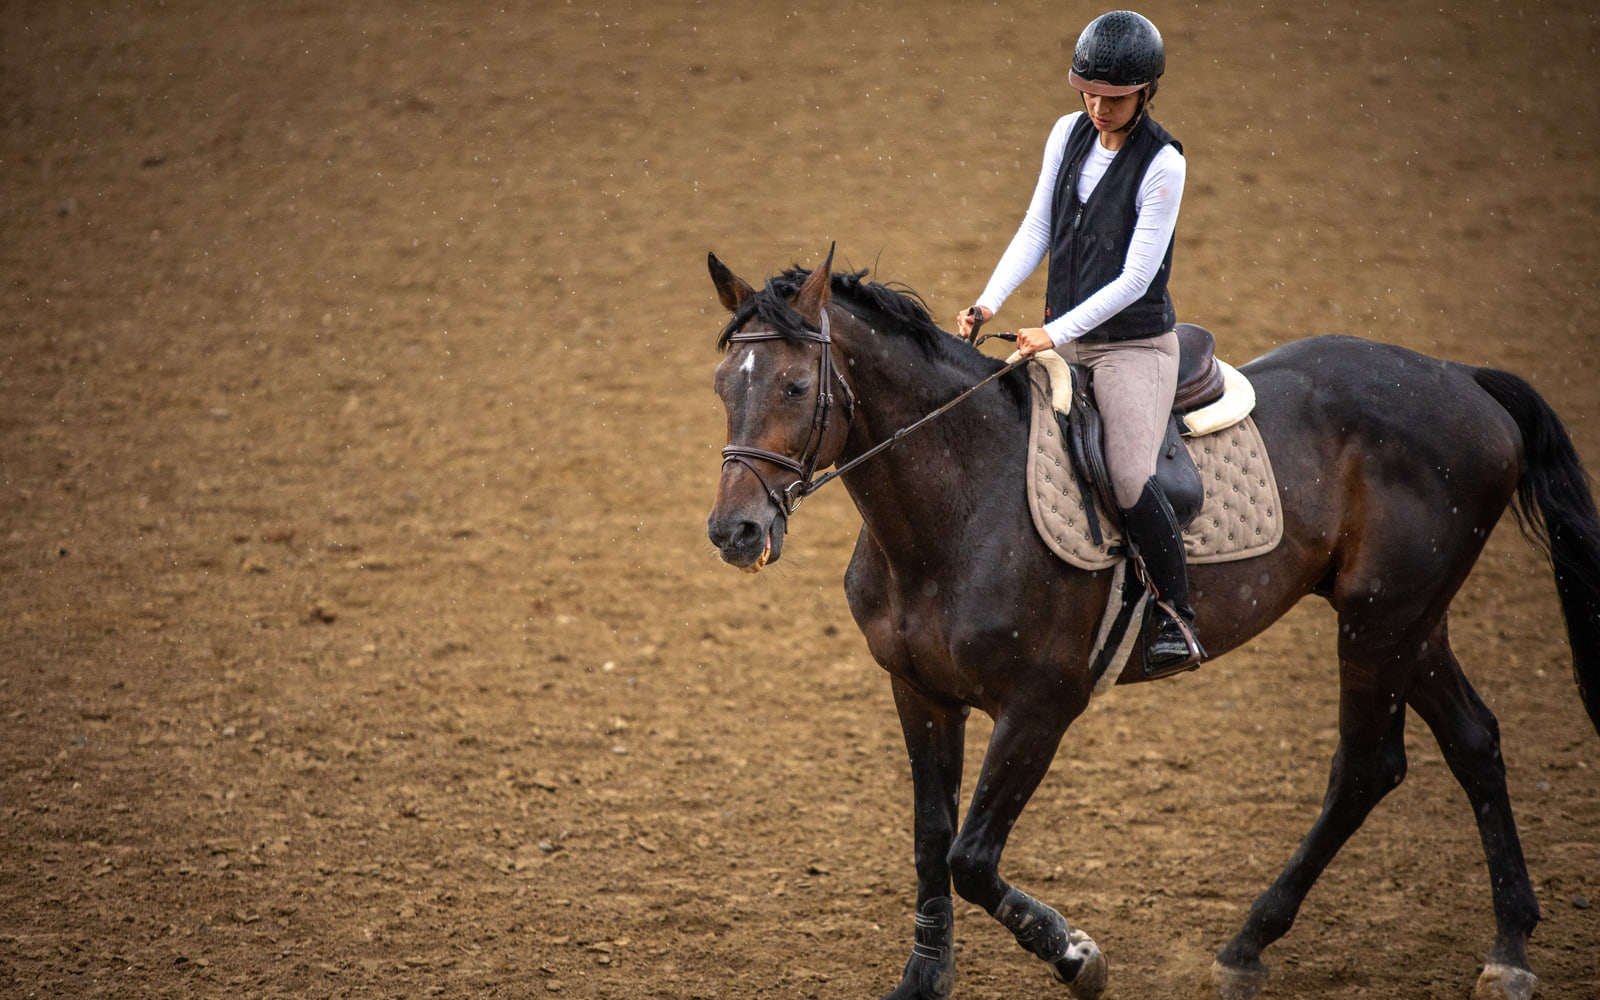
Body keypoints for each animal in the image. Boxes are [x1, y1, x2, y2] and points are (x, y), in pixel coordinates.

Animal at [703, 247, 1600, 1000]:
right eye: (722, 386)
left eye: (793, 387)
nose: (734, 532)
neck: (958, 503)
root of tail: (1461, 378)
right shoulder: (918, 691)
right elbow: (931, 839)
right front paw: (924, 979)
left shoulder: (1041, 706)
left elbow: (971, 857)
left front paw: (1077, 956)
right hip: (1408, 620)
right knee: (1473, 741)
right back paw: (1508, 951)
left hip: (1382, 624)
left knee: (1365, 767)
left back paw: (1248, 947)